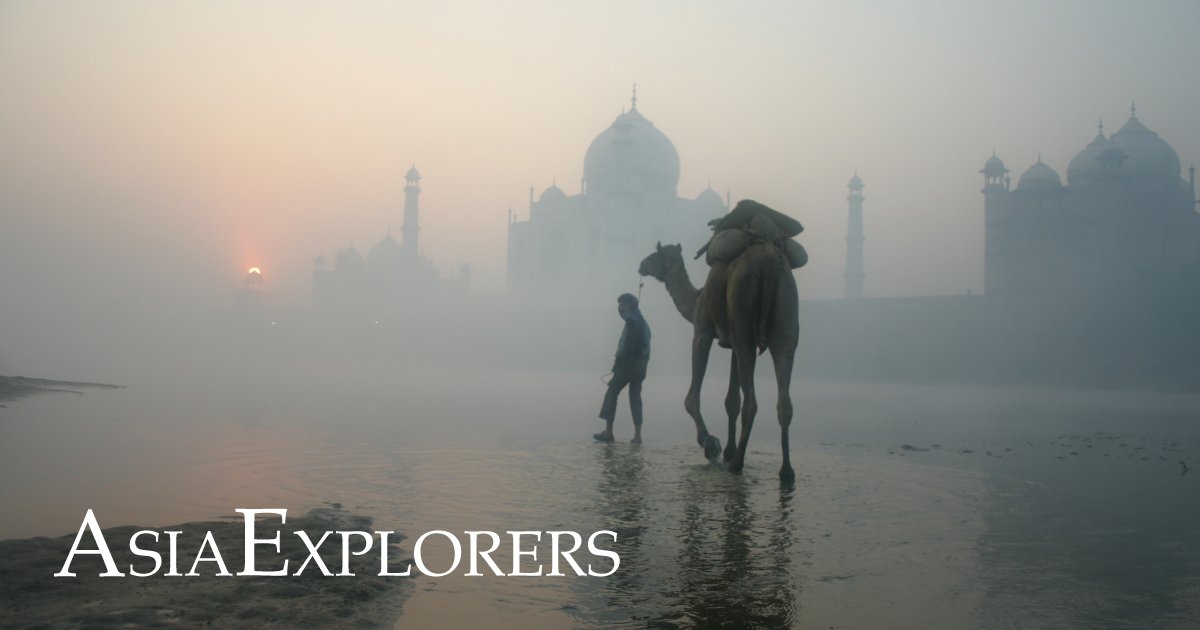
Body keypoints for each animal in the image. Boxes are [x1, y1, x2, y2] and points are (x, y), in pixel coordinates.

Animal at [638, 240, 796, 477]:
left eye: (654, 255)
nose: (641, 265)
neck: (696, 299)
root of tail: (768, 260)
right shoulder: (731, 346)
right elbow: (731, 400)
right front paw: (728, 449)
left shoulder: (702, 332)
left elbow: (691, 398)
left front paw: (710, 443)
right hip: (784, 313)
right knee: (784, 394)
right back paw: (786, 471)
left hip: (742, 306)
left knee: (751, 402)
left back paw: (737, 464)